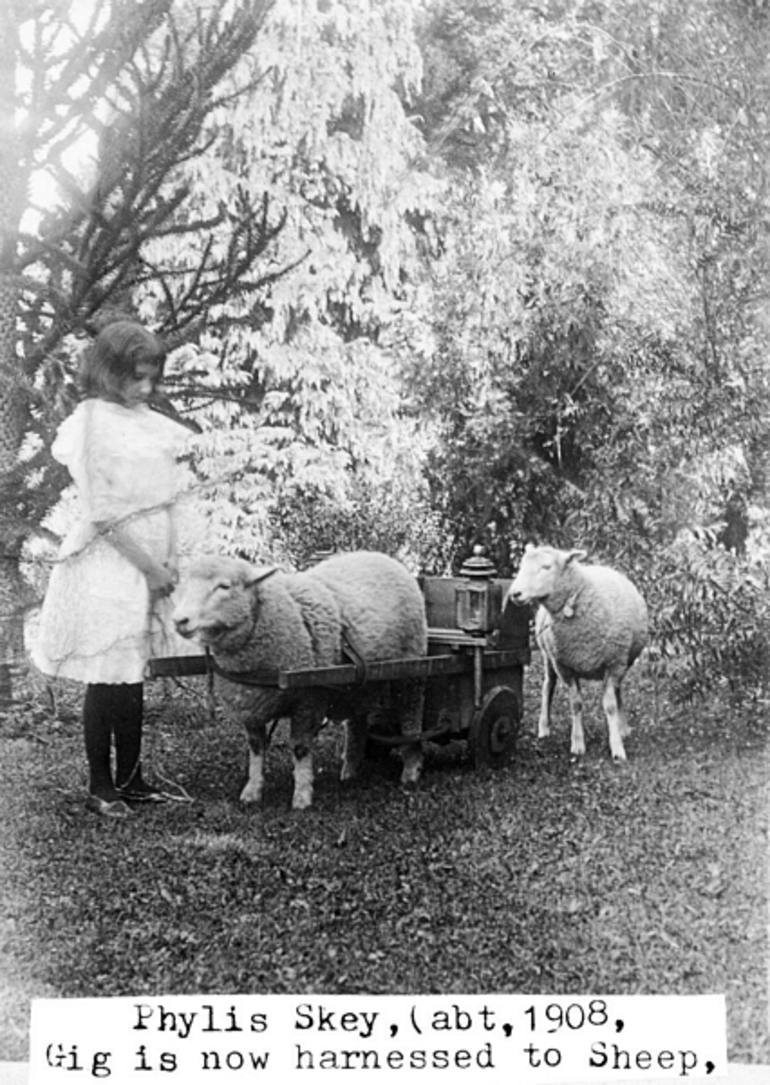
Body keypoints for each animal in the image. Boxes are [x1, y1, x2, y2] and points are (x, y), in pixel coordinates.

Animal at [172, 551, 431, 807]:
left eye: (224, 586)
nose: (179, 620)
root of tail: (381, 556)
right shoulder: (250, 704)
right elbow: (256, 747)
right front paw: (252, 790)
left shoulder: (307, 700)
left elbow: (300, 748)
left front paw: (302, 795)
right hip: (360, 683)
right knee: (356, 724)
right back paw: (350, 770)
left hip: (411, 669)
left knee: (411, 717)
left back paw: (411, 770)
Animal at [507, 542, 650, 763]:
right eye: (522, 565)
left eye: (546, 567)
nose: (515, 593)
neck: (575, 601)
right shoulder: (565, 666)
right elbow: (576, 704)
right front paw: (577, 744)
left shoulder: (614, 663)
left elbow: (610, 705)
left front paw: (617, 746)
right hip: (548, 656)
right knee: (547, 686)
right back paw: (544, 728)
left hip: (623, 662)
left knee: (618, 690)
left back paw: (622, 727)